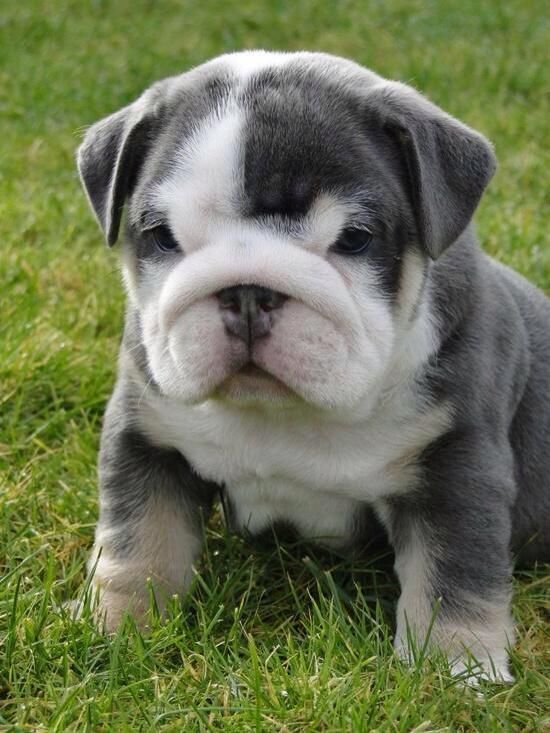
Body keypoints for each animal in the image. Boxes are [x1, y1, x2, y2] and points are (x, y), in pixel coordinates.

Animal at [77, 50, 550, 680]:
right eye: (161, 236)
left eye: (354, 238)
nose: (247, 293)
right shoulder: (146, 439)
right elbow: (139, 541)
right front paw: (115, 631)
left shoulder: (457, 464)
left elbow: (455, 573)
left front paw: (454, 668)